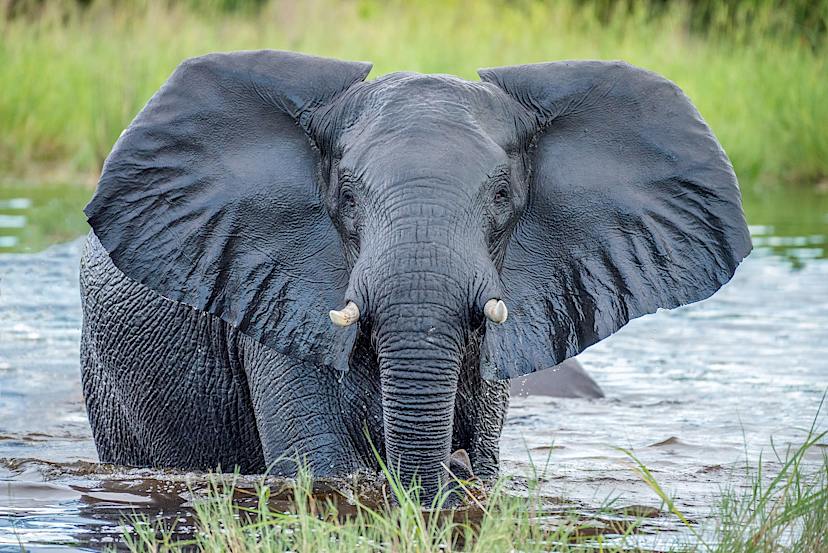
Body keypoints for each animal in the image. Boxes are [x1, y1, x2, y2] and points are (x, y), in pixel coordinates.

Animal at [79, 50, 751, 500]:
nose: (449, 465)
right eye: (348, 197)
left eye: (502, 195)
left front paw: (463, 475)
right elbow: (318, 468)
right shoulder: (270, 289)